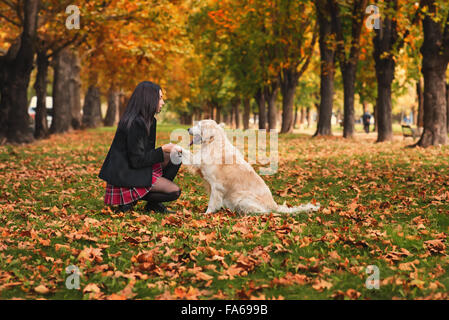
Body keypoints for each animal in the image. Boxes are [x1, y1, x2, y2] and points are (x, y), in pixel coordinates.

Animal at [177, 119, 320, 214]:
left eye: (198, 125)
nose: (188, 129)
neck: (212, 142)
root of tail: (274, 205)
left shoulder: (216, 185)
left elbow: (212, 202)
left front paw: (206, 214)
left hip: (242, 198)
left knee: (264, 212)